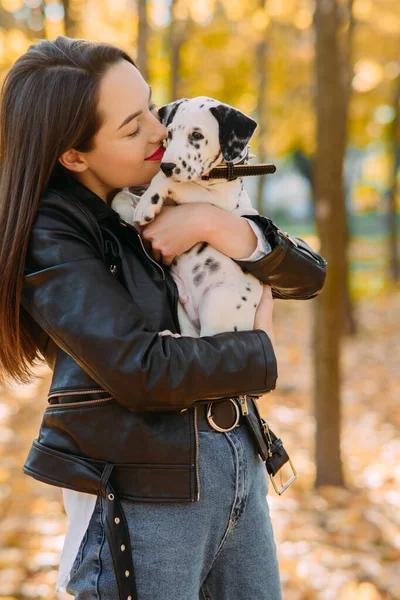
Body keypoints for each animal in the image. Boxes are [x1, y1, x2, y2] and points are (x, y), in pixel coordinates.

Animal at [111, 97, 264, 338]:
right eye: (170, 133)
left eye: (197, 135)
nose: (166, 166)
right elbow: (122, 195)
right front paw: (129, 211)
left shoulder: (217, 202)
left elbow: (165, 181)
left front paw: (146, 205)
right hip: (181, 309)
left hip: (217, 300)